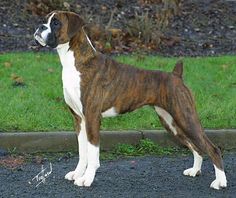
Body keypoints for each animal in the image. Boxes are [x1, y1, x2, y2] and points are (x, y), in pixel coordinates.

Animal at [32, 10, 227, 189]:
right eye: (46, 20)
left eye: (56, 23)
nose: (40, 26)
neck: (76, 61)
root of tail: (176, 76)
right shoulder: (79, 119)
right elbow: (82, 151)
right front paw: (77, 173)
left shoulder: (92, 117)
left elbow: (93, 152)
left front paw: (87, 179)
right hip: (171, 123)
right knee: (196, 147)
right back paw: (195, 170)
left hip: (186, 118)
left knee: (212, 148)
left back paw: (220, 182)